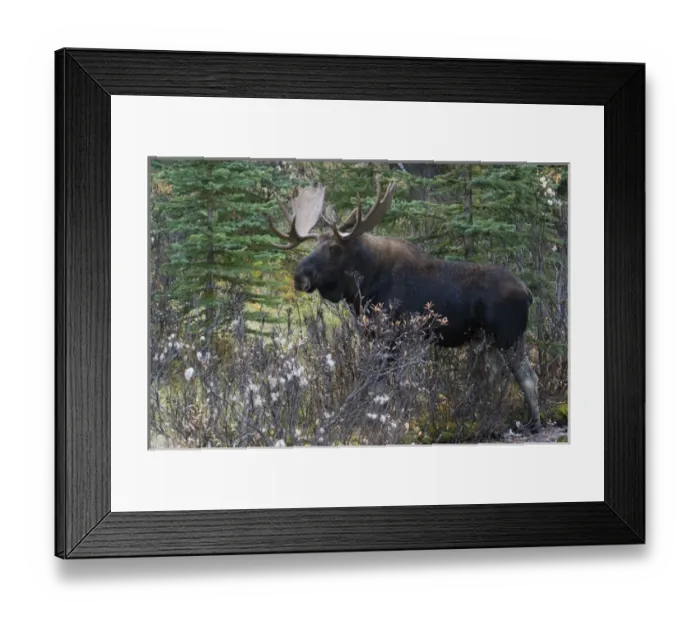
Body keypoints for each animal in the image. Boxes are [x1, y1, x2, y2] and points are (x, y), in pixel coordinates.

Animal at [267, 177, 542, 431]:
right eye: (315, 245)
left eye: (334, 248)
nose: (299, 275)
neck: (364, 286)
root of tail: (528, 292)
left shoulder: (393, 335)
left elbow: (382, 387)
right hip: (488, 340)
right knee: (495, 375)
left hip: (509, 336)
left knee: (528, 376)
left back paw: (533, 422)